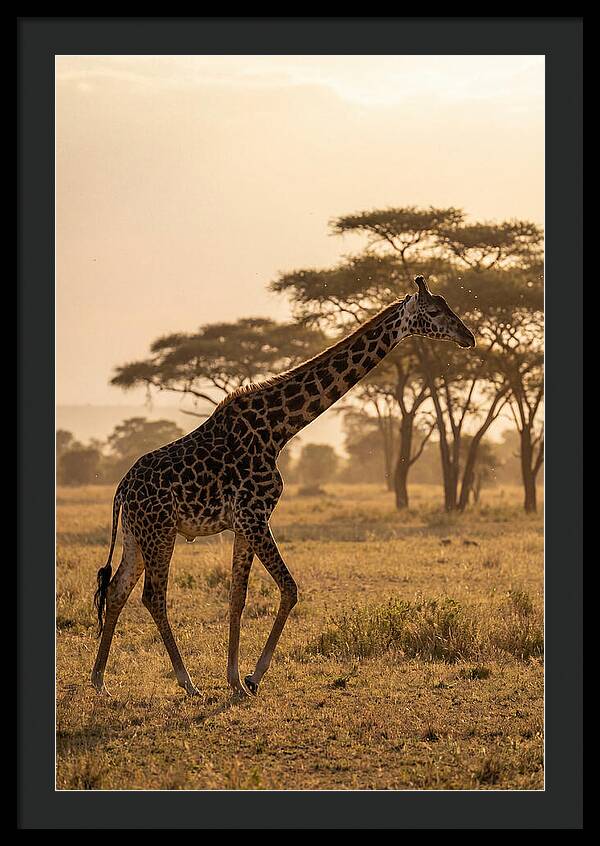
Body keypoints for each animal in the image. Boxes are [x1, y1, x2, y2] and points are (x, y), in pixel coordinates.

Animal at [91, 275, 475, 699]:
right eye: (435, 311)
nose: (469, 337)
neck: (278, 429)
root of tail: (122, 489)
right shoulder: (254, 516)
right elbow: (289, 589)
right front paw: (253, 677)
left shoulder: (243, 523)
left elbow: (237, 596)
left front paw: (234, 680)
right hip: (160, 532)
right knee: (153, 596)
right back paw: (187, 683)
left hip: (136, 535)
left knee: (117, 589)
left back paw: (100, 681)